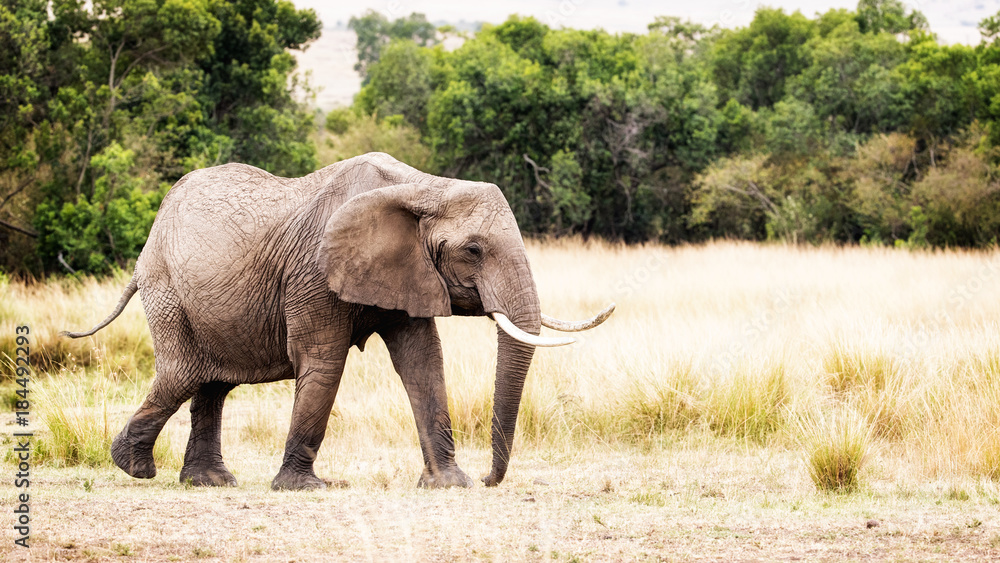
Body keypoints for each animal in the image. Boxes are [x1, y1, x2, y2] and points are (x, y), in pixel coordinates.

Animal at [64, 152, 614, 490]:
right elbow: (324, 362)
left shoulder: (405, 271)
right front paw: (304, 488)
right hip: (166, 291)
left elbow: (423, 362)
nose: (486, 478)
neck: (425, 188)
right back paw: (134, 468)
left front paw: (446, 484)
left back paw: (208, 482)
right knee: (183, 374)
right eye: (474, 250)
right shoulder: (315, 272)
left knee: (211, 383)